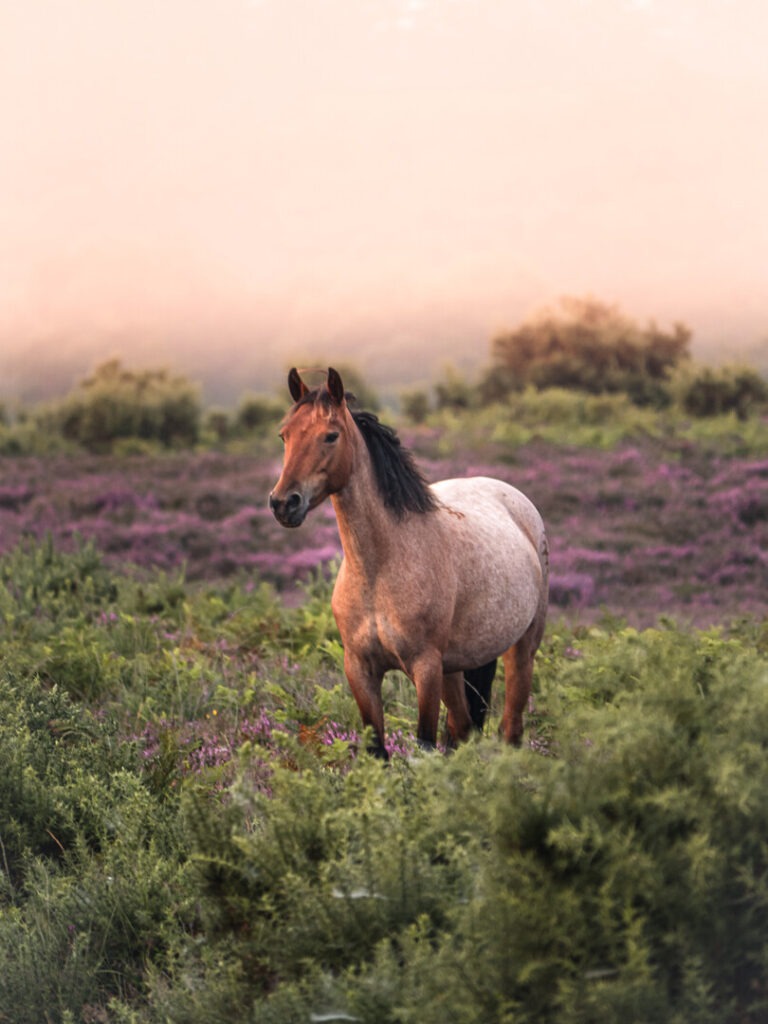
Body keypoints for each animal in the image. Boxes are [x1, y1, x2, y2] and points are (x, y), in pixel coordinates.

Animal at [269, 367, 549, 758]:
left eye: (331, 436)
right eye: (285, 435)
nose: (283, 503)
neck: (378, 569)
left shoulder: (426, 669)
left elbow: (425, 744)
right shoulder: (360, 670)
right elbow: (377, 749)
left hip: (520, 649)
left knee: (511, 728)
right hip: (456, 667)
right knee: (462, 729)